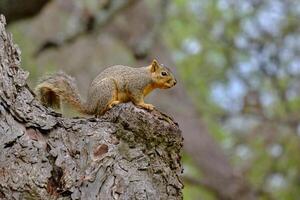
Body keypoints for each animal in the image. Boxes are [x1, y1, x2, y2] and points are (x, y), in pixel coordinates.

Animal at [35, 59, 177, 115]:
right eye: (163, 73)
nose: (175, 82)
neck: (148, 76)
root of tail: (91, 105)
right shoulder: (135, 85)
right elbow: (137, 99)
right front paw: (145, 105)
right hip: (108, 88)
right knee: (99, 111)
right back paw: (111, 104)